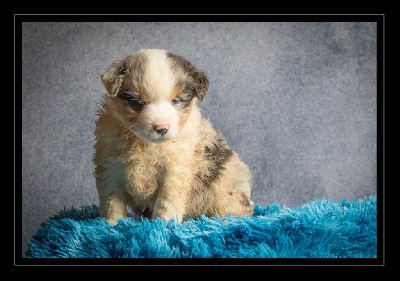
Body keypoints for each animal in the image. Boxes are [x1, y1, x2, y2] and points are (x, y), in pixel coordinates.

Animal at [93, 47, 253, 223]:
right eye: (138, 102)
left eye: (176, 101)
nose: (161, 128)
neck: (145, 143)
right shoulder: (110, 167)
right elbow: (112, 202)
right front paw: (112, 224)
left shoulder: (175, 171)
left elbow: (166, 202)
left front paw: (162, 224)